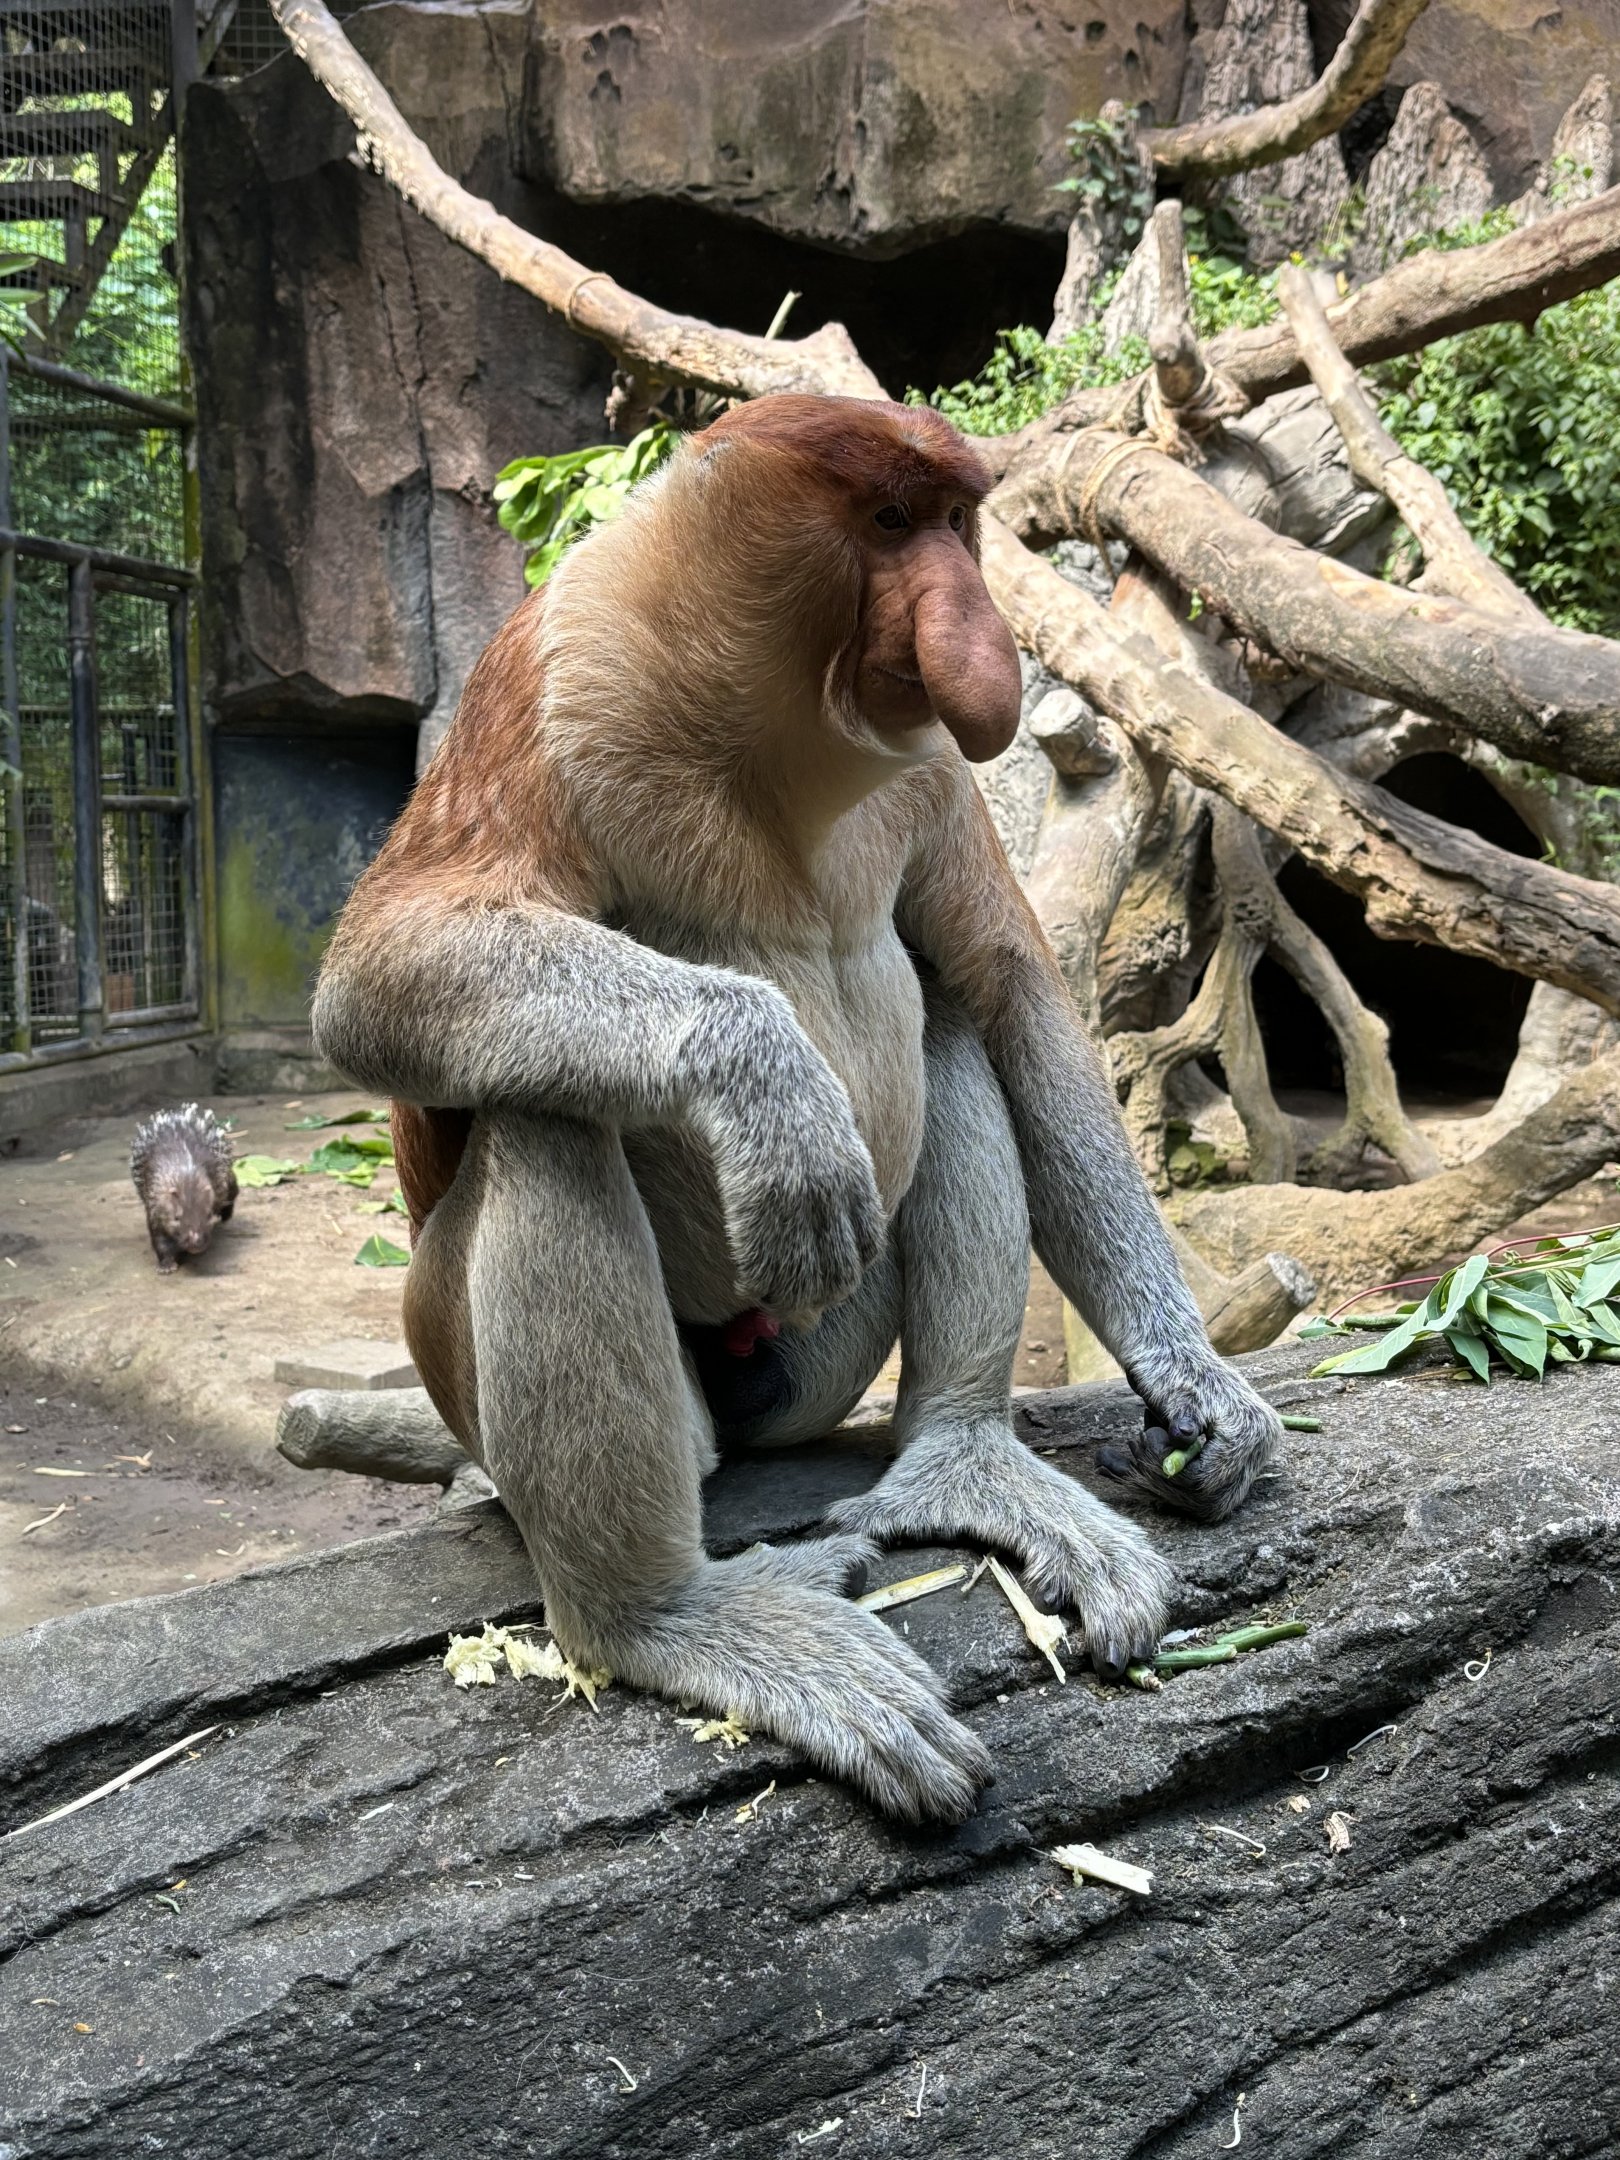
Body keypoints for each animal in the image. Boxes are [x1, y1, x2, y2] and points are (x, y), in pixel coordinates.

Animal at [312, 394, 1281, 1823]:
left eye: (955, 522)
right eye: (887, 521)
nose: (976, 639)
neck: (780, 739)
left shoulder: (929, 771)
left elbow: (1008, 988)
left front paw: (1198, 1388)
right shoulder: (559, 676)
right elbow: (375, 974)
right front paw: (767, 1088)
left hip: (829, 1345)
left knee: (947, 1024)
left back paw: (966, 1459)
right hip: (465, 1362)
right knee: (542, 1121)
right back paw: (667, 1616)